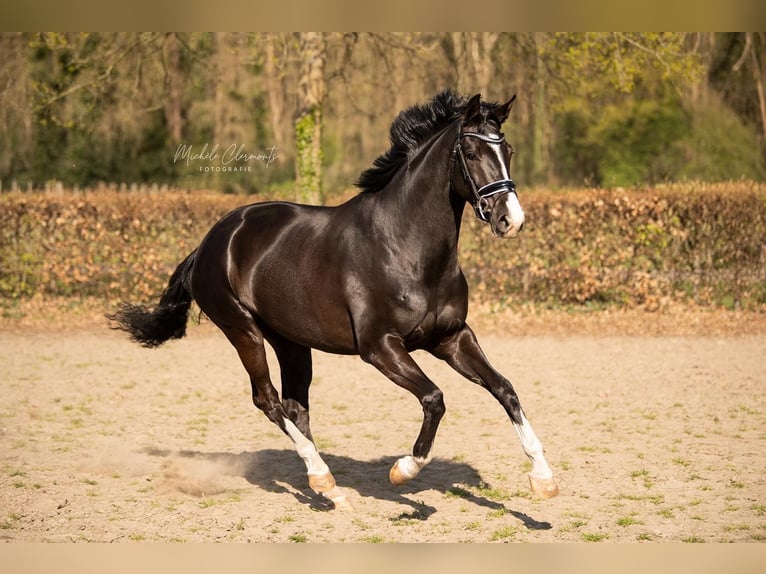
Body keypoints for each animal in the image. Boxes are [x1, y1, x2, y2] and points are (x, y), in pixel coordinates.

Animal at [109, 90, 560, 508]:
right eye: (470, 152)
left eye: (508, 151)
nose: (510, 219)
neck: (406, 248)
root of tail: (210, 241)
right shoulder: (380, 347)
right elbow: (434, 399)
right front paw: (403, 470)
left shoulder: (451, 338)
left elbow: (505, 389)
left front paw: (543, 480)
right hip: (243, 331)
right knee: (267, 400)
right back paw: (323, 478)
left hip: (291, 341)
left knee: (295, 405)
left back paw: (330, 490)